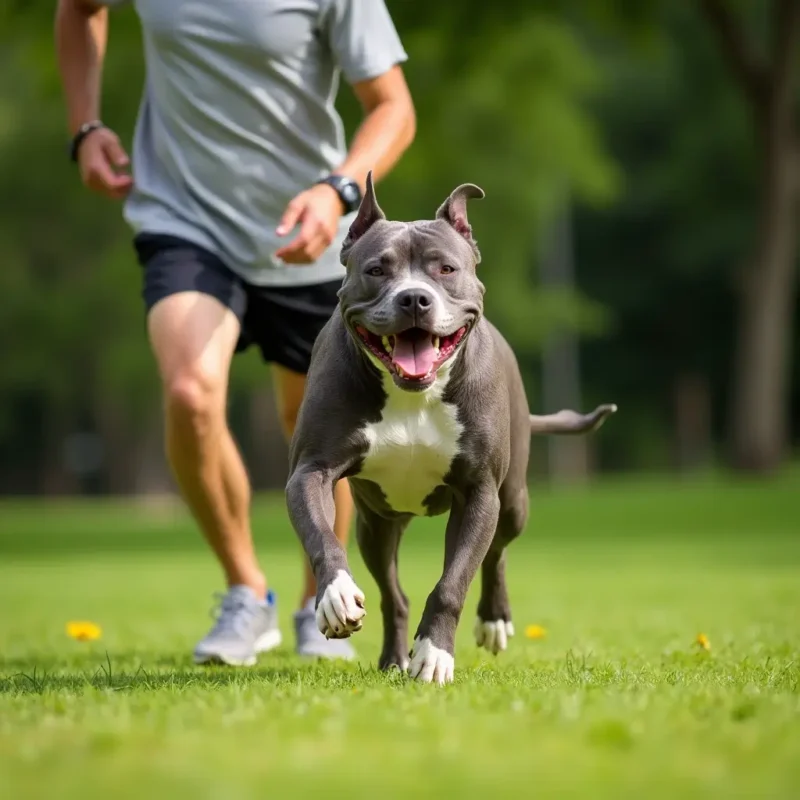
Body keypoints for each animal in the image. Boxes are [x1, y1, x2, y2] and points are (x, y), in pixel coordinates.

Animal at [284, 175, 616, 688]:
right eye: (377, 269)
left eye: (445, 268)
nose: (414, 298)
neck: (413, 393)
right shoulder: (311, 472)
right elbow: (321, 536)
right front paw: (336, 596)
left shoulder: (479, 492)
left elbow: (452, 582)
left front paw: (434, 655)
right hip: (377, 524)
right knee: (393, 594)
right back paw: (393, 658)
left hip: (512, 500)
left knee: (497, 552)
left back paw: (493, 619)